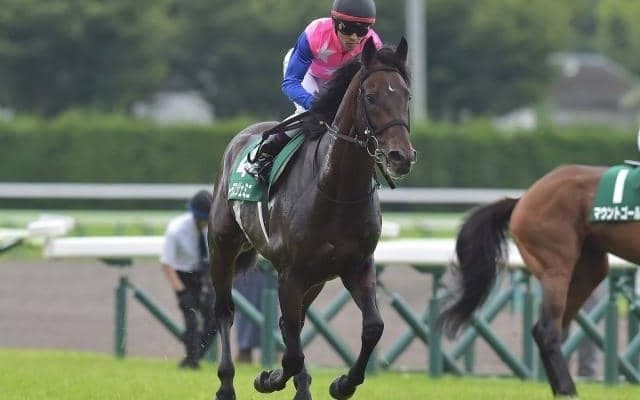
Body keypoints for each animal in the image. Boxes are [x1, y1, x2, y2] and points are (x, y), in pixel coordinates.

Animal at [208, 36, 416, 400]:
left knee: (295, 326)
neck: (337, 190)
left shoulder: (356, 266)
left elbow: (373, 327)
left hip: (315, 279)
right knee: (225, 312)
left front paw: (343, 383)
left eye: (406, 95)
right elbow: (291, 350)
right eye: (371, 96)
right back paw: (226, 385)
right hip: (223, 246)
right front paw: (268, 379)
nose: (400, 157)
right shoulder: (290, 273)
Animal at [440, 163, 640, 397]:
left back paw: (560, 389)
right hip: (556, 268)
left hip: (588, 271)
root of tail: (523, 198)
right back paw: (567, 390)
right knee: (547, 330)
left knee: (552, 329)